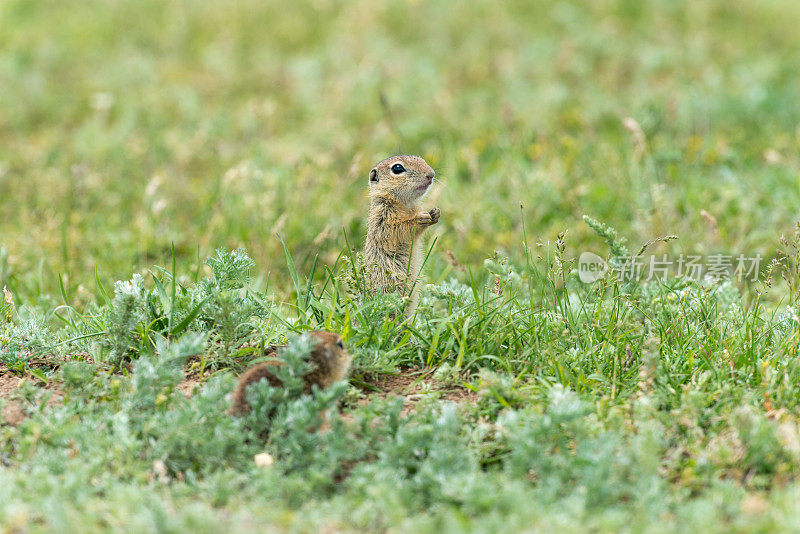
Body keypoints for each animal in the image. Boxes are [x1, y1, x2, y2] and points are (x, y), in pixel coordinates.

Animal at [366, 155, 440, 312]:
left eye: (421, 159)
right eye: (397, 168)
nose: (431, 174)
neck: (405, 204)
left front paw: (435, 213)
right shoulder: (382, 219)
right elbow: (398, 229)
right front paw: (420, 218)